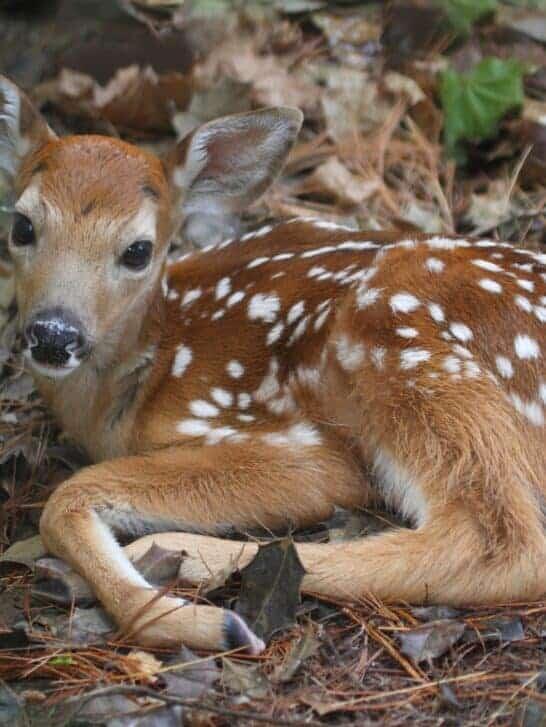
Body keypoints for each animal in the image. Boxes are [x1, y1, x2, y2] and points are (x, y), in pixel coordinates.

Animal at [0, 74, 544, 655]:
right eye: (23, 226)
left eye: (138, 250)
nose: (54, 334)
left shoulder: (292, 442)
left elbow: (64, 497)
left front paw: (193, 617)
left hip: (400, 340)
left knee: (503, 543)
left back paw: (184, 557)